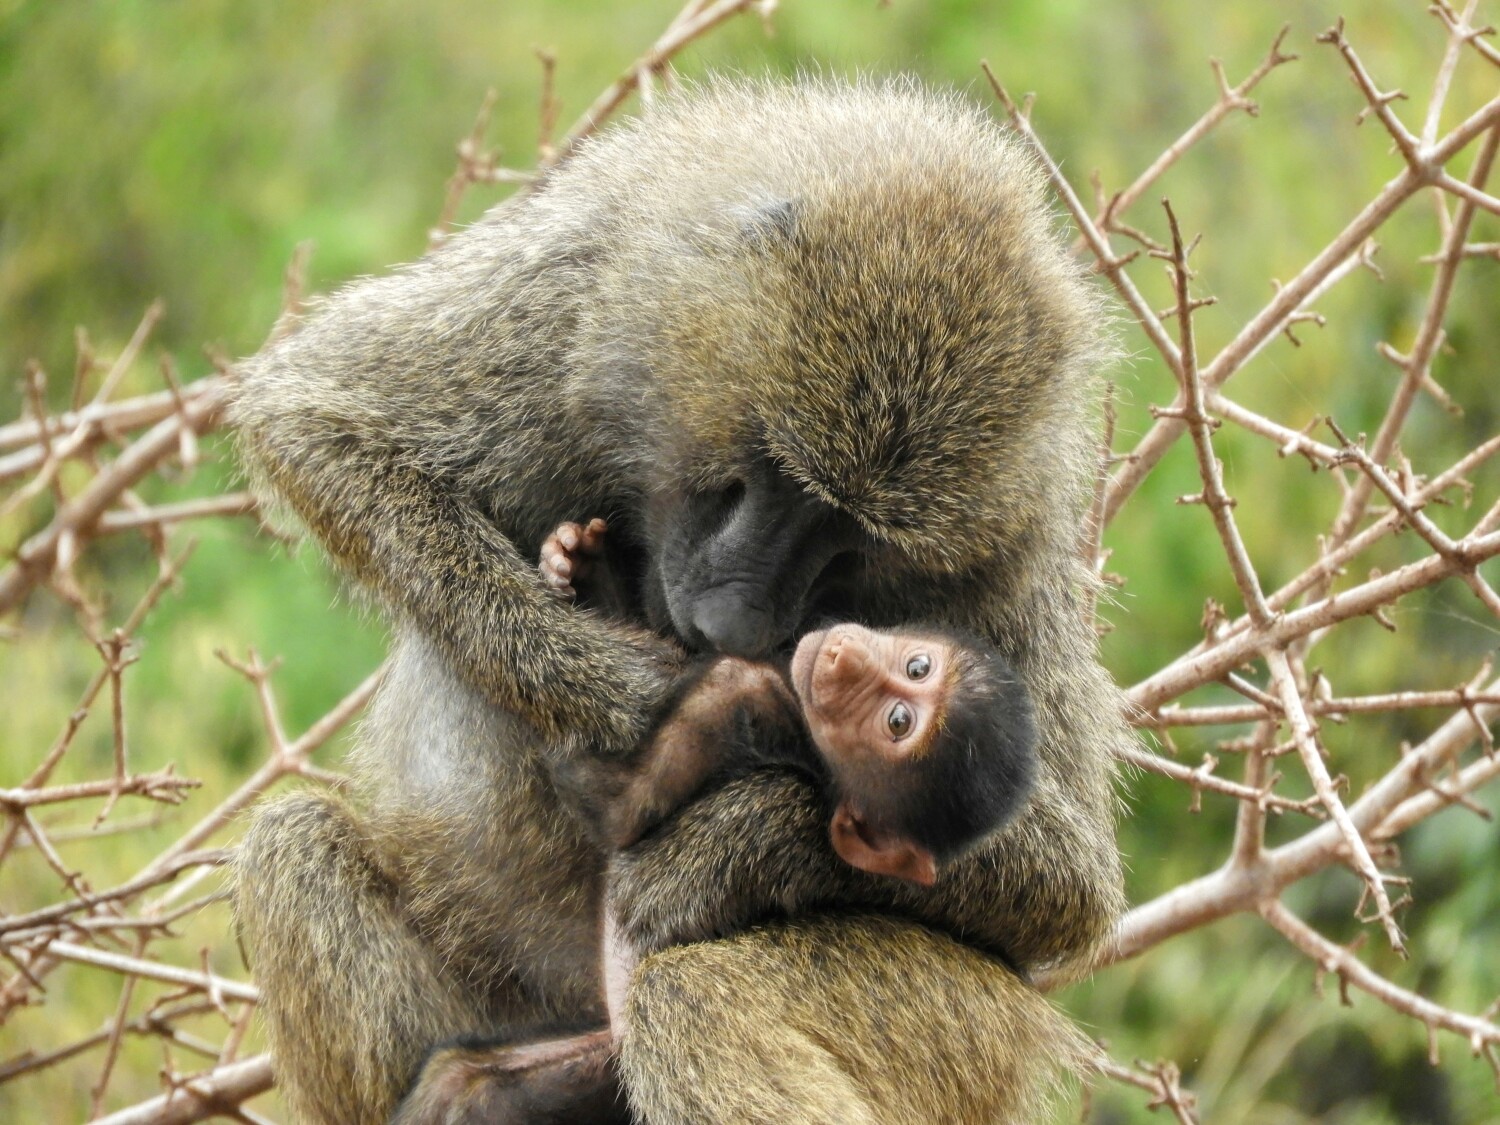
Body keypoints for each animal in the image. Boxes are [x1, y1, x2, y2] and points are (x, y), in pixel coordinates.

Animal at [232, 77, 1128, 1125]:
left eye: (851, 537)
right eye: (775, 474)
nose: (735, 625)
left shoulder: (1018, 534)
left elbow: (1065, 880)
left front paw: (707, 850)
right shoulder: (570, 286)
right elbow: (315, 419)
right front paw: (617, 678)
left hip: (969, 1037)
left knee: (695, 990)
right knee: (293, 848)